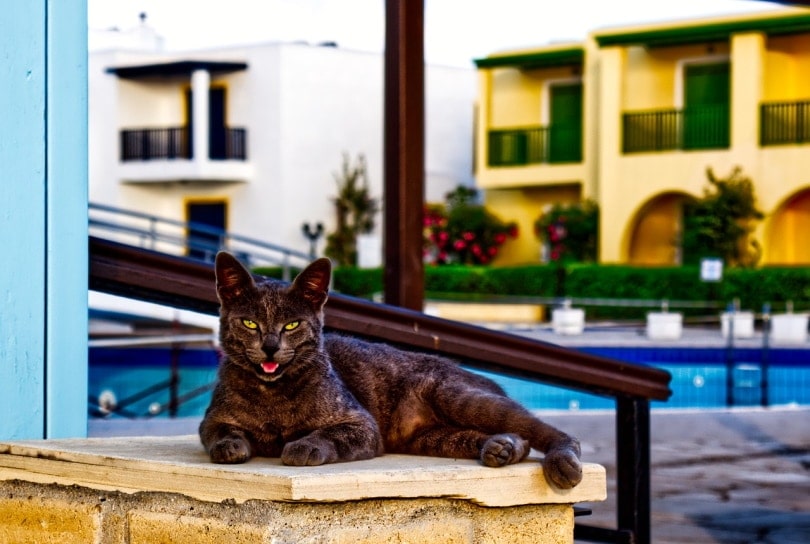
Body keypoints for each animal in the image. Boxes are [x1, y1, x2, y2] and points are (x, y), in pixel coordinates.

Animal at [201, 254, 580, 488]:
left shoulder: (361, 424)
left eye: (292, 324)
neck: (273, 395)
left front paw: (303, 446)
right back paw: (501, 448)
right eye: (250, 323)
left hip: (459, 397)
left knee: (548, 432)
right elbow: (220, 433)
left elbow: (327, 434)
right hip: (432, 438)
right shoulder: (212, 419)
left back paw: (562, 462)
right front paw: (230, 445)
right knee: (515, 439)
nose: (269, 346)